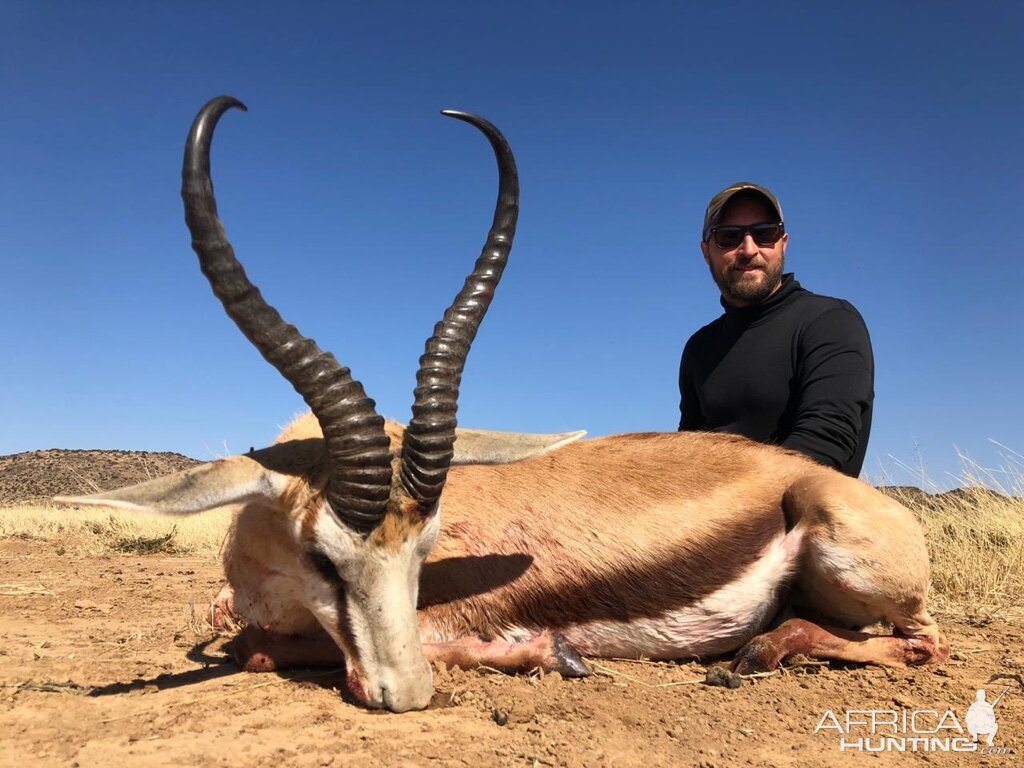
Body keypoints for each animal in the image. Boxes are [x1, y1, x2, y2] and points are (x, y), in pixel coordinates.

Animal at [59, 96, 946, 716]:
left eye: (428, 550)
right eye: (324, 557)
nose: (405, 694)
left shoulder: (448, 621)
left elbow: (258, 648)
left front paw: (553, 655)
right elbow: (237, 636)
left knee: (921, 645)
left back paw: (755, 655)